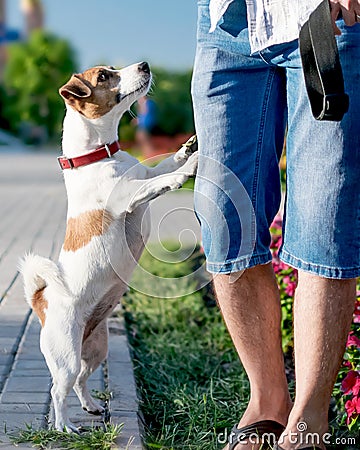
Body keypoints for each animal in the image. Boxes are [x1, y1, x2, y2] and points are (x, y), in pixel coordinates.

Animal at [19, 61, 198, 430]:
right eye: (103, 76)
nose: (144, 64)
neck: (98, 156)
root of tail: (40, 300)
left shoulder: (143, 177)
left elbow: (161, 168)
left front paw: (186, 150)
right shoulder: (131, 195)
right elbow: (164, 179)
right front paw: (188, 168)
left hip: (95, 350)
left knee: (81, 382)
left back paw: (90, 406)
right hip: (66, 357)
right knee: (59, 390)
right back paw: (65, 426)